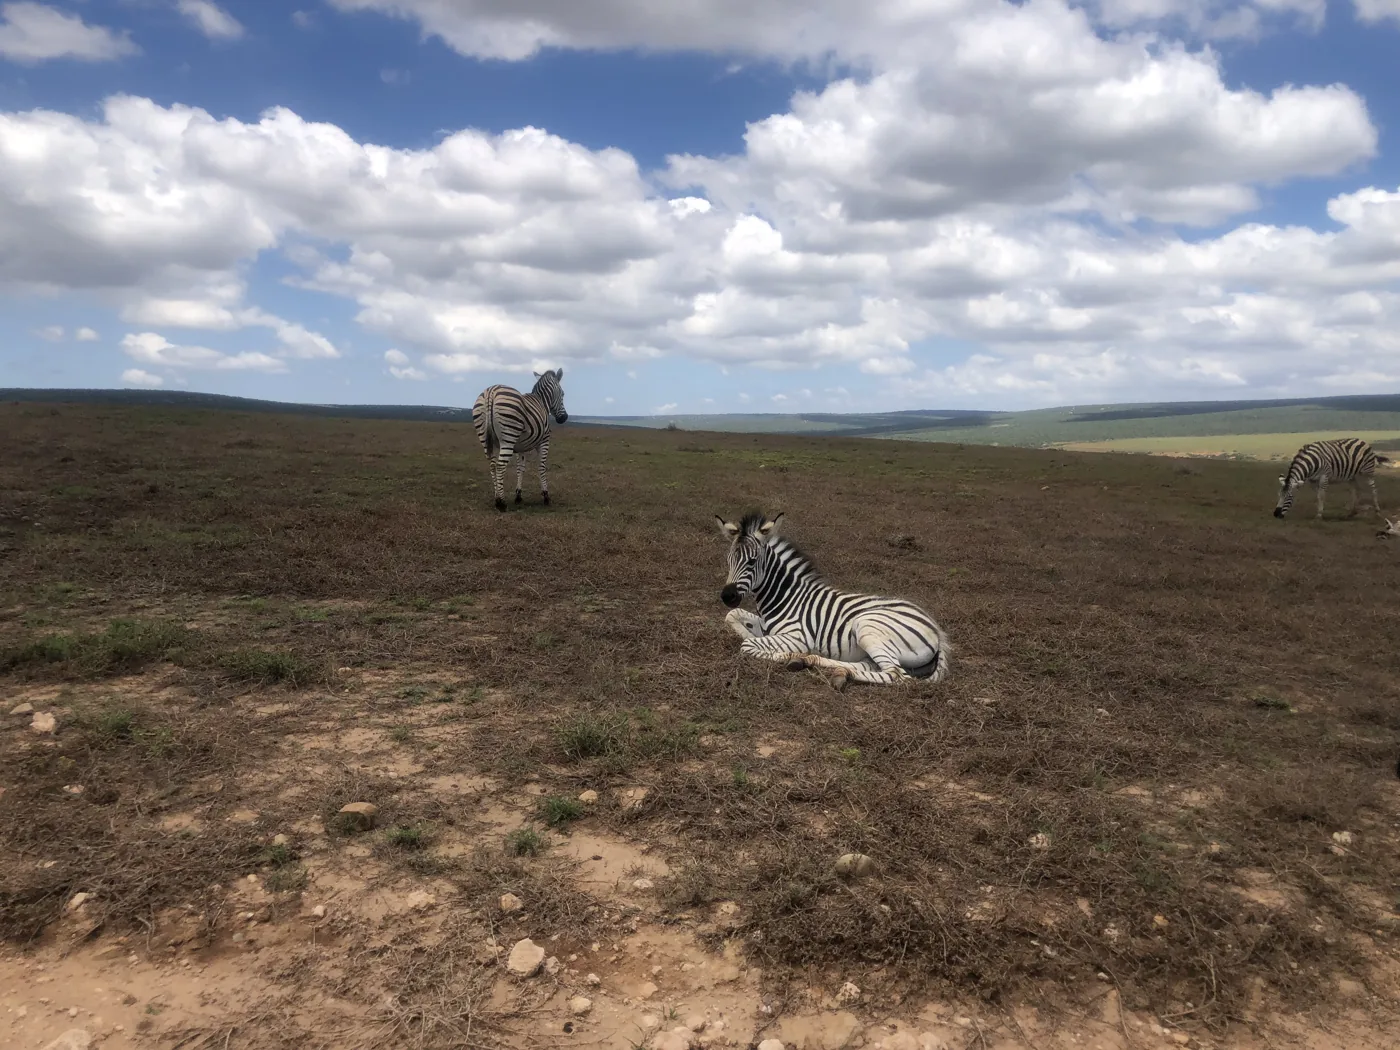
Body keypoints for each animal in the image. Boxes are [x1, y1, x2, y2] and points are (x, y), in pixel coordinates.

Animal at [472, 369, 568, 512]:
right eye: (562, 394)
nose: (564, 418)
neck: (542, 402)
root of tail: (491, 392)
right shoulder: (544, 441)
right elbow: (541, 467)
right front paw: (546, 496)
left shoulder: (521, 446)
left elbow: (520, 468)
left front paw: (518, 495)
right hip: (508, 437)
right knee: (500, 466)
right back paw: (501, 503)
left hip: (486, 439)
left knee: (492, 465)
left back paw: (496, 498)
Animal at [715, 511, 951, 687]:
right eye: (728, 560)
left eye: (752, 561)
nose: (727, 596)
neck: (784, 597)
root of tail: (937, 631)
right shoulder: (764, 625)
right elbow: (732, 615)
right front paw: (747, 631)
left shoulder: (797, 636)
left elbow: (747, 645)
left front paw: (787, 653)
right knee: (873, 666)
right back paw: (823, 666)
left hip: (867, 626)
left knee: (897, 675)